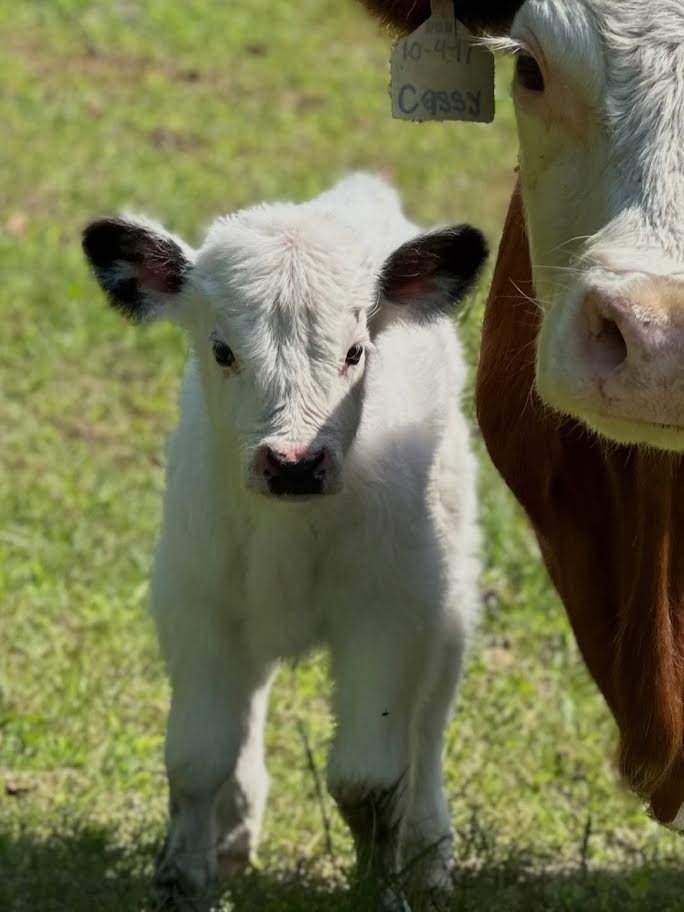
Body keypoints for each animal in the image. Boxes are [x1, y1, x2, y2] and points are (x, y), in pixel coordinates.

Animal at [82, 173, 488, 909]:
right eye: (222, 351)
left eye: (356, 351)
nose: (294, 464)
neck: (289, 533)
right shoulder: (196, 603)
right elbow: (196, 757)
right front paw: (183, 879)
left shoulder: (391, 616)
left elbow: (369, 781)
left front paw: (380, 889)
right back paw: (235, 830)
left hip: (452, 589)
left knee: (430, 725)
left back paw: (431, 853)